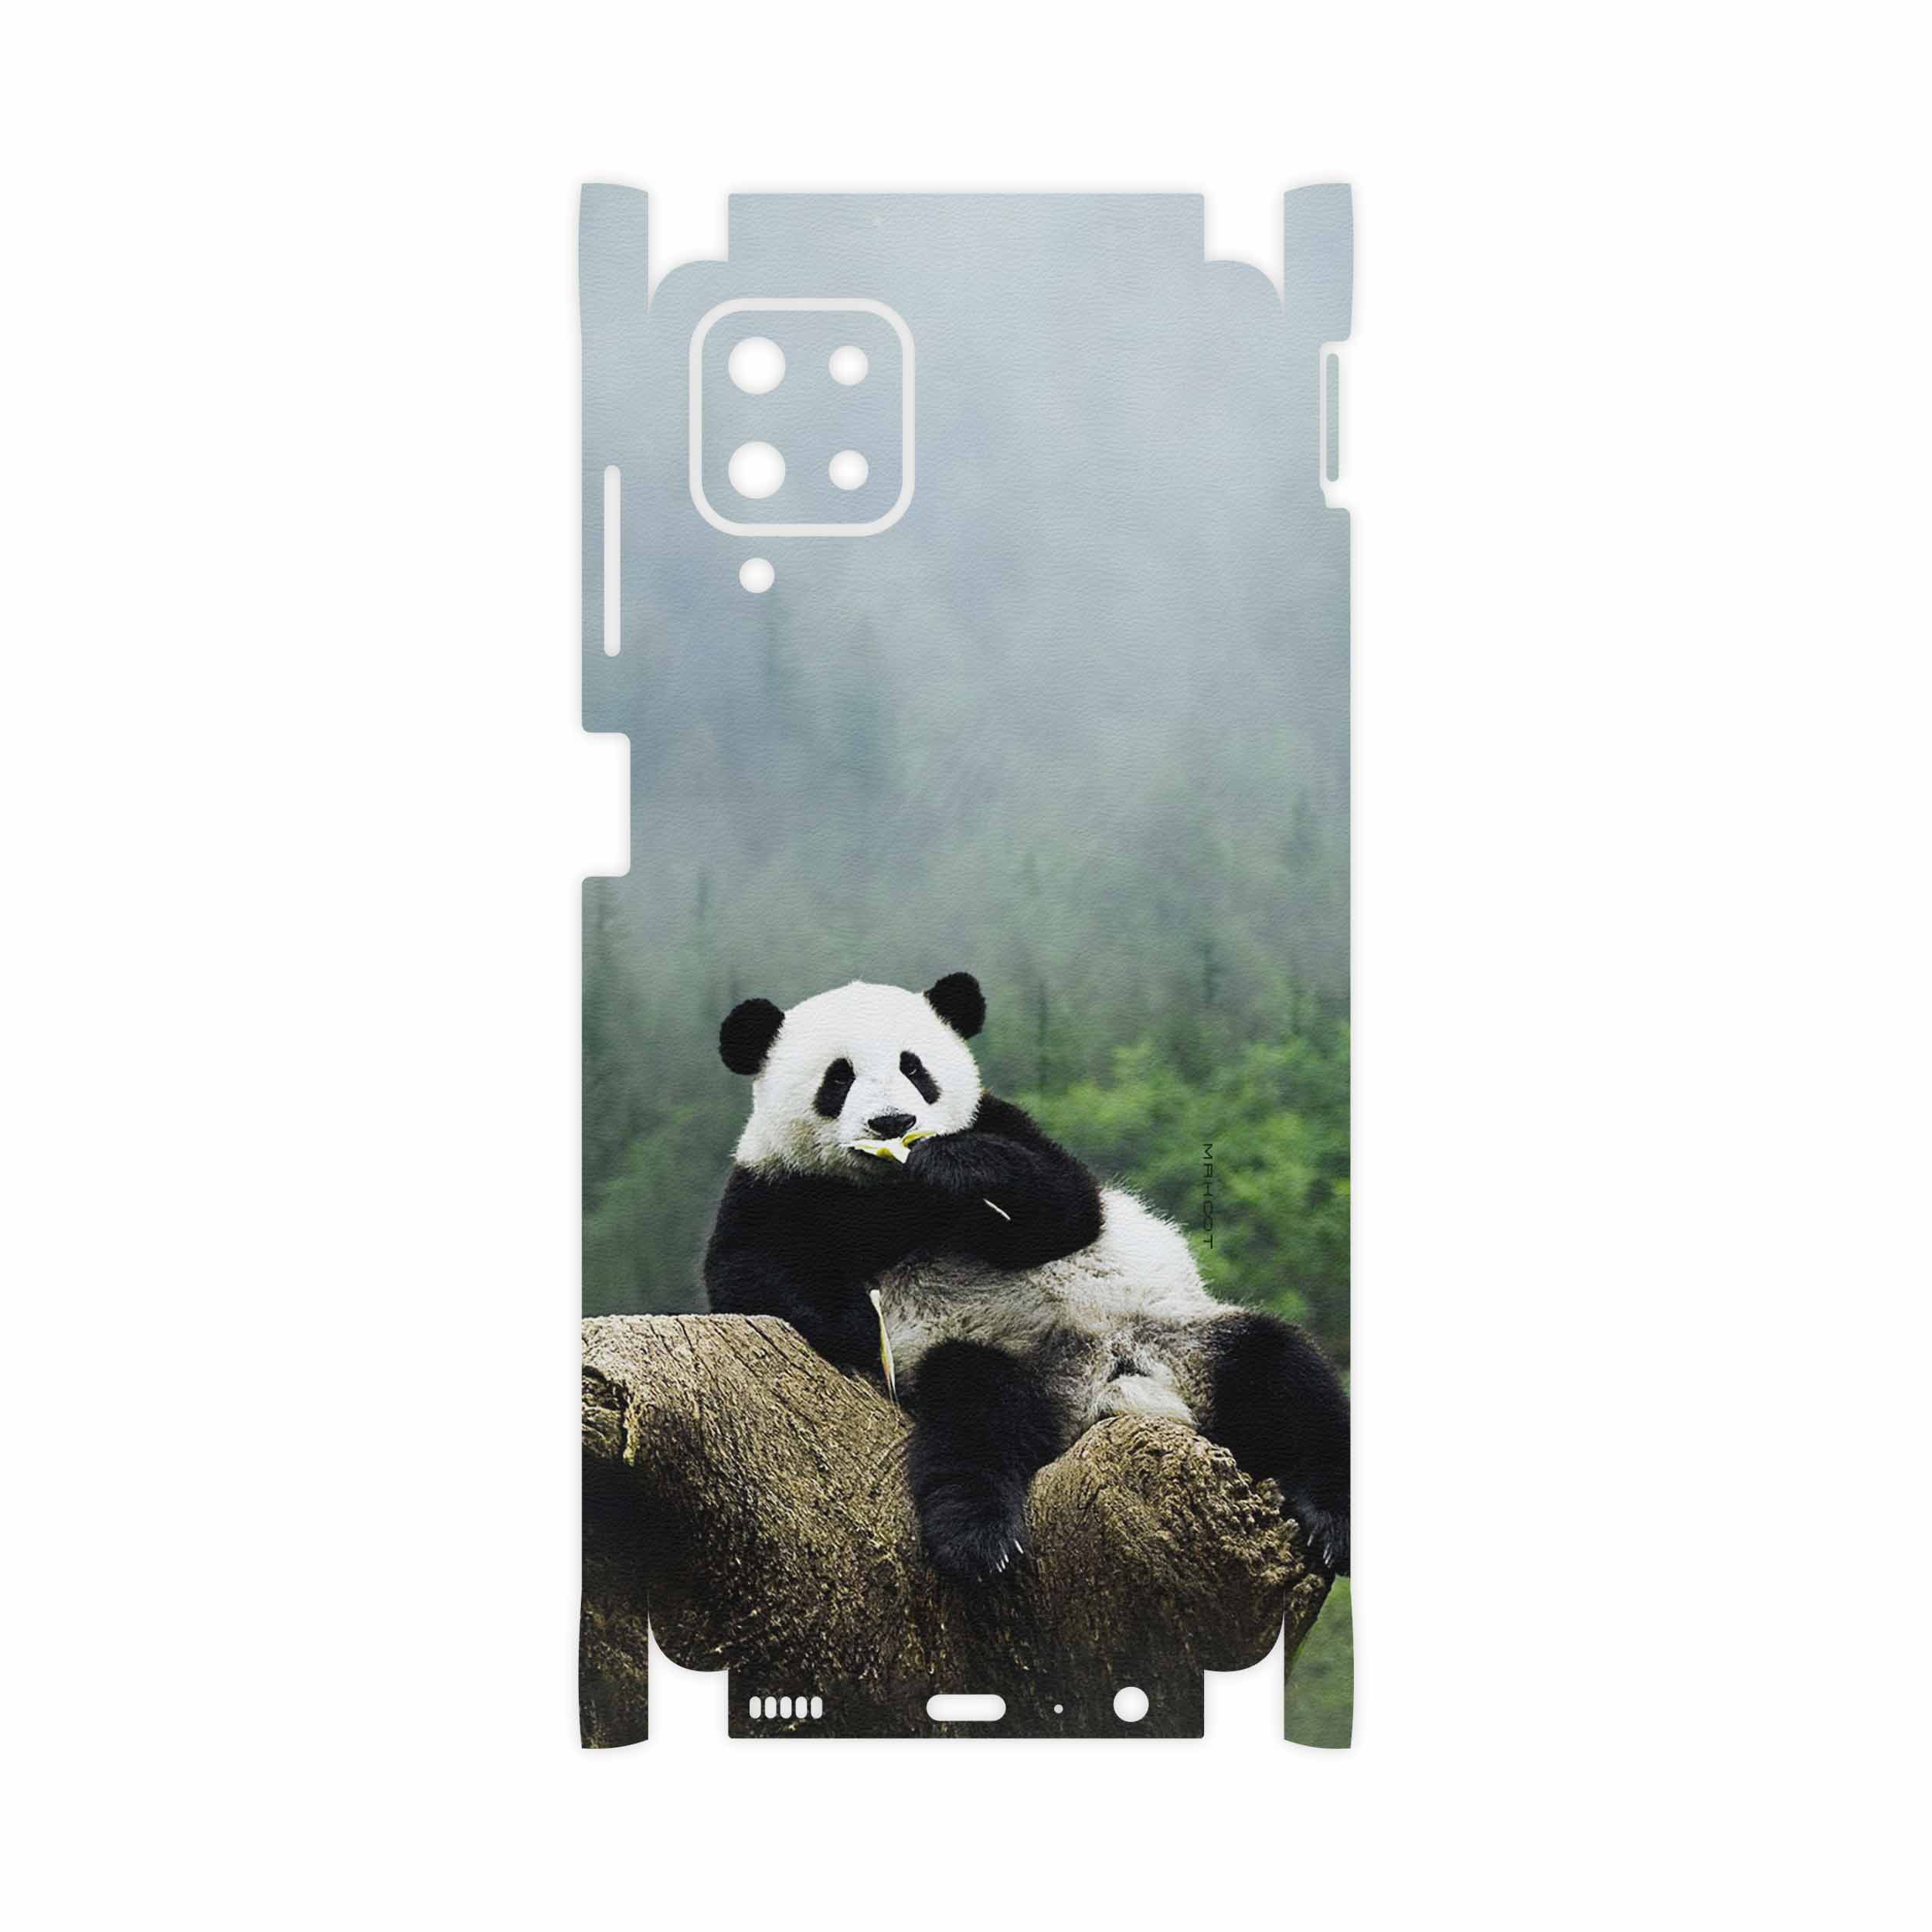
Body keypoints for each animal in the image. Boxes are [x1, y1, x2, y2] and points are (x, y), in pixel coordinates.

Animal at [704, 972, 1350, 1582]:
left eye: (914, 1068)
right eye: (838, 1079)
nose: (894, 1122)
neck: (891, 1192)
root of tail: (1106, 1388)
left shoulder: (1002, 1123)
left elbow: (1068, 1208)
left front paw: (955, 1167)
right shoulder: (775, 1185)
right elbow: (747, 1273)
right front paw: (863, 1324)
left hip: (1181, 1336)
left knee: (1284, 1373)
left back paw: (1332, 1522)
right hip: (993, 1355)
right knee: (974, 1418)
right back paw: (980, 1538)